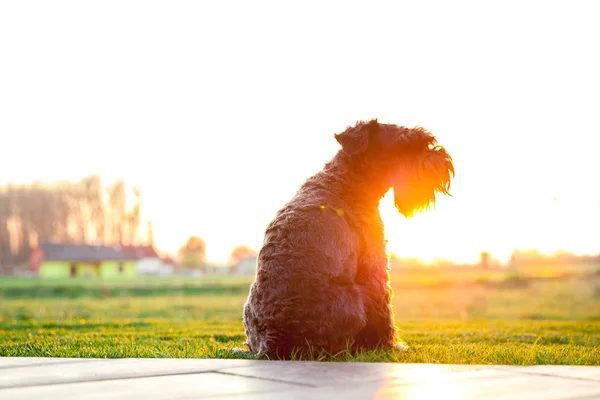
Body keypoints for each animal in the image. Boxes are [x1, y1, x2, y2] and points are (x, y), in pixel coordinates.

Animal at [241, 119, 452, 360]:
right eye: (406, 144)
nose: (444, 159)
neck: (347, 181)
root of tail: (272, 343)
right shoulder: (375, 266)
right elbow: (384, 308)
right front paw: (390, 345)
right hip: (352, 299)